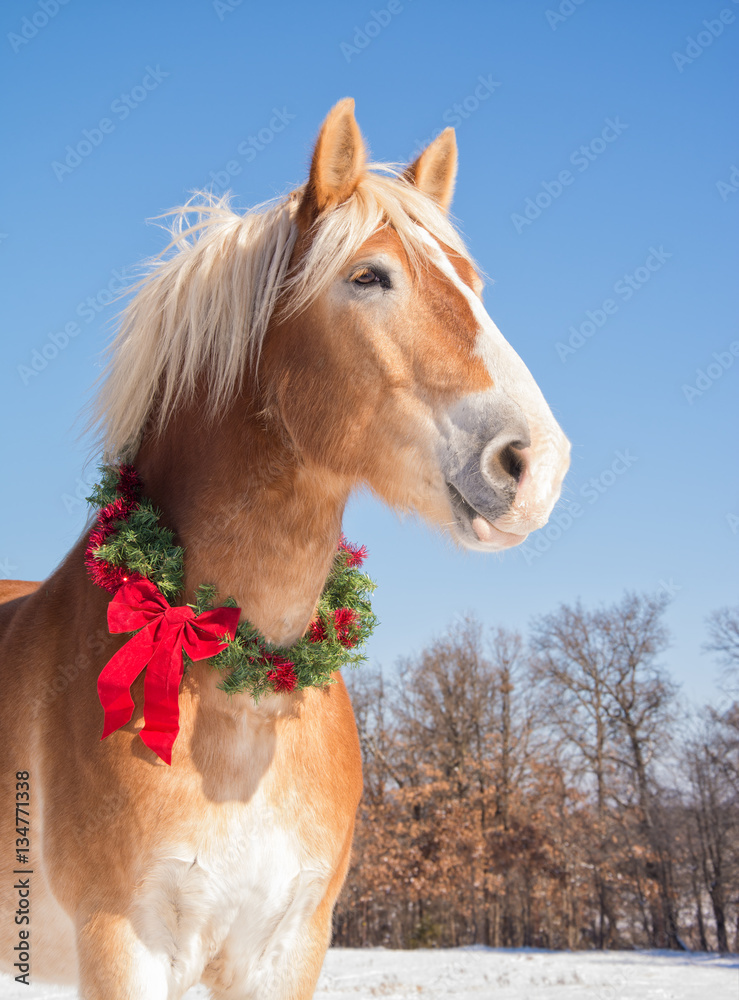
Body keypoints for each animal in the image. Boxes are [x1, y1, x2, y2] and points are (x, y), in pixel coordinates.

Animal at [0, 98, 569, 999]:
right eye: (368, 277)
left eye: (471, 285)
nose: (535, 463)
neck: (244, 695)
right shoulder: (121, 942)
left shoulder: (290, 943)